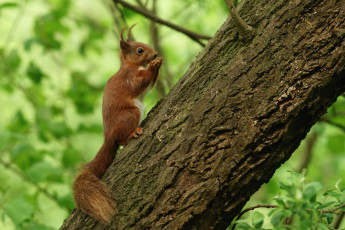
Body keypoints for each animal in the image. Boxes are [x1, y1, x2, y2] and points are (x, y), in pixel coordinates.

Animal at [72, 24, 163, 223]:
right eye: (139, 50)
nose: (155, 53)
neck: (133, 65)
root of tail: (108, 137)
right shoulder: (130, 77)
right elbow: (139, 83)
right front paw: (154, 65)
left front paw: (158, 62)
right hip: (130, 115)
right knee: (120, 140)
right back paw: (132, 134)